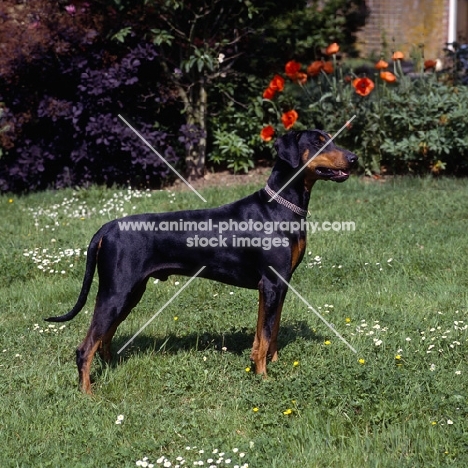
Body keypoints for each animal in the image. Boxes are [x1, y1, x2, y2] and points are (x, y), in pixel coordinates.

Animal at [45, 130, 356, 394]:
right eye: (318, 142)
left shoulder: (278, 285)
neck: (279, 209)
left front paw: (271, 364)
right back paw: (88, 393)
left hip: (130, 293)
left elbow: (269, 332)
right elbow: (267, 334)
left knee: (104, 339)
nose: (353, 158)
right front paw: (264, 378)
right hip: (116, 292)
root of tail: (107, 228)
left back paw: (110, 370)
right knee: (85, 348)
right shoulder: (270, 283)